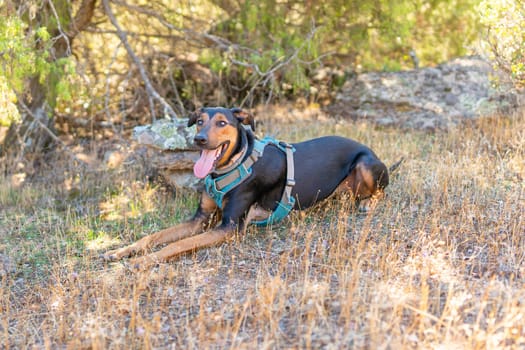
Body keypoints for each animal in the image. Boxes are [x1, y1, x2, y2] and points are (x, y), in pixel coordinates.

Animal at [101, 106, 388, 268]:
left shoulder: (229, 226)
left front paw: (142, 261)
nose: (199, 139)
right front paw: (120, 251)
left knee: (381, 191)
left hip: (366, 165)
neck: (234, 163)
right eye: (199, 121)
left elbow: (175, 245)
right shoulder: (200, 219)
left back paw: (367, 203)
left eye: (222, 122)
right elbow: (155, 237)